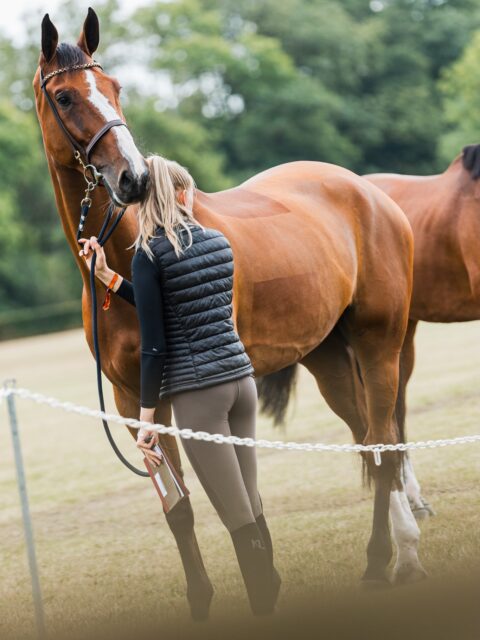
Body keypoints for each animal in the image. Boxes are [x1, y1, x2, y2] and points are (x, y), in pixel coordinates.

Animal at [34, 9, 424, 614]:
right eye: (66, 96)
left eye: (116, 88)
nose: (133, 178)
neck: (131, 257)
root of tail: (369, 193)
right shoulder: (134, 401)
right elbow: (180, 507)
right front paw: (201, 601)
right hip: (328, 358)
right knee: (368, 441)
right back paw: (403, 552)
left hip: (379, 347)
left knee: (383, 449)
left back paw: (383, 562)